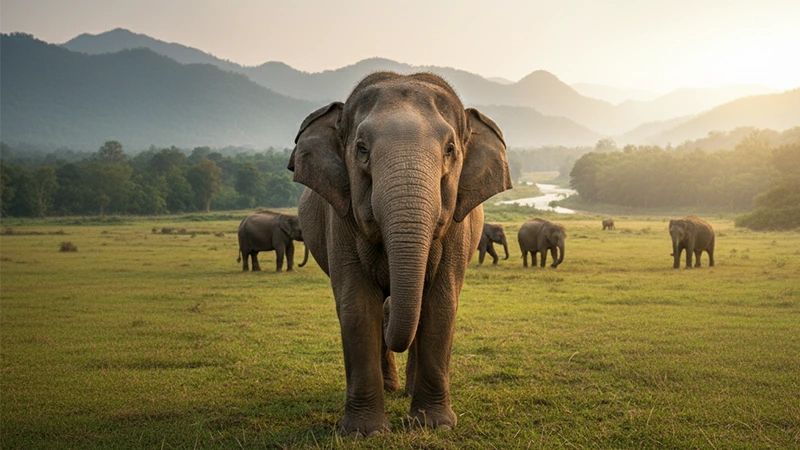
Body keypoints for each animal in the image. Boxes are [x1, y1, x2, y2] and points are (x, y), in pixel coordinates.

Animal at [288, 72, 512, 435]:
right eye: (362, 148)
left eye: (450, 149)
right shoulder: (340, 219)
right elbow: (357, 307)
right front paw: (364, 432)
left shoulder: (458, 228)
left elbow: (440, 306)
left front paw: (433, 425)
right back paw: (392, 389)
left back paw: (405, 392)